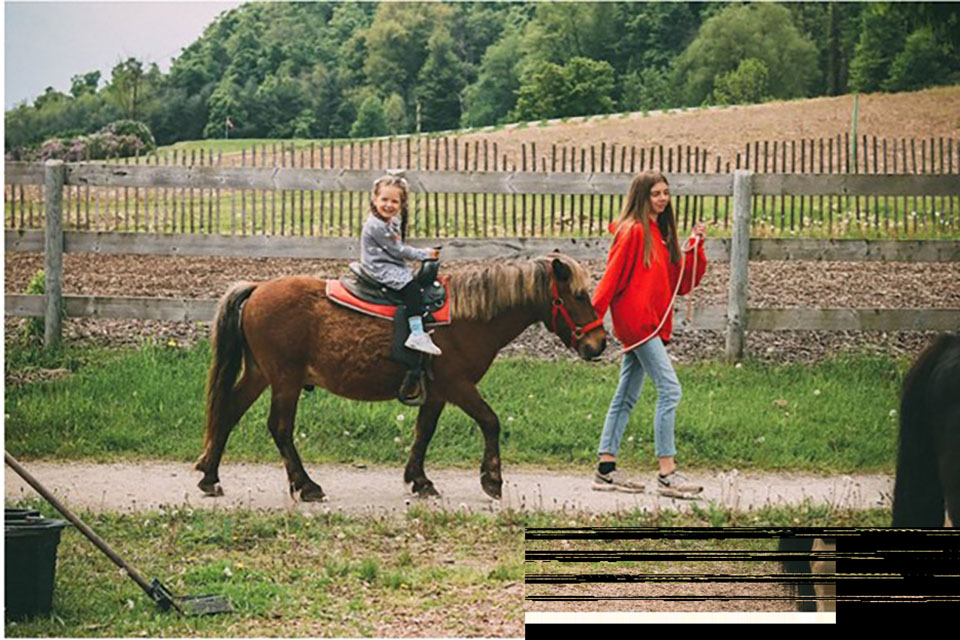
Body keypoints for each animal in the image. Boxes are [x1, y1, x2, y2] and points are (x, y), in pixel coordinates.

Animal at [195, 252, 608, 502]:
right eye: (578, 296)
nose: (599, 343)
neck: (466, 316)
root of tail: (257, 290)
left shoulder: (438, 392)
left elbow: (423, 432)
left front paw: (419, 480)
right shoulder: (458, 385)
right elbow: (490, 422)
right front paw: (492, 479)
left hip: (261, 375)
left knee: (228, 413)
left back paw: (210, 476)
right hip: (285, 380)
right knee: (279, 428)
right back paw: (306, 484)